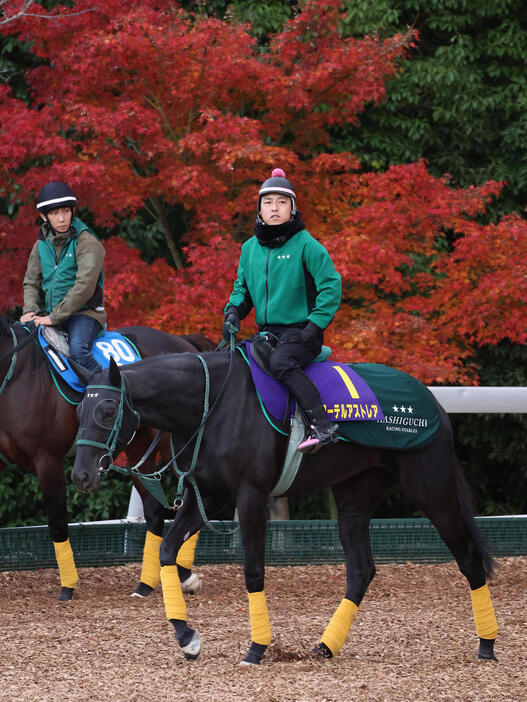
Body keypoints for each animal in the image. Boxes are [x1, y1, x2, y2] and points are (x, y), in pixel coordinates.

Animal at [0, 316, 216, 604]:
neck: (17, 373)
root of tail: (184, 343)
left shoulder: (48, 459)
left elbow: (57, 522)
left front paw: (68, 586)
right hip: (138, 450)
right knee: (155, 509)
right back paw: (147, 583)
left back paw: (182, 574)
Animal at [70, 350, 500, 668]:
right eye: (79, 411)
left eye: (106, 410)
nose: (81, 474)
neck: (214, 406)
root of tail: (433, 402)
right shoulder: (207, 496)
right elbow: (166, 550)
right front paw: (186, 636)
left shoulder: (250, 496)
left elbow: (253, 570)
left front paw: (257, 648)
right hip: (354, 497)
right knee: (361, 570)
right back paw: (326, 645)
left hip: (433, 490)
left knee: (468, 558)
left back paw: (487, 644)